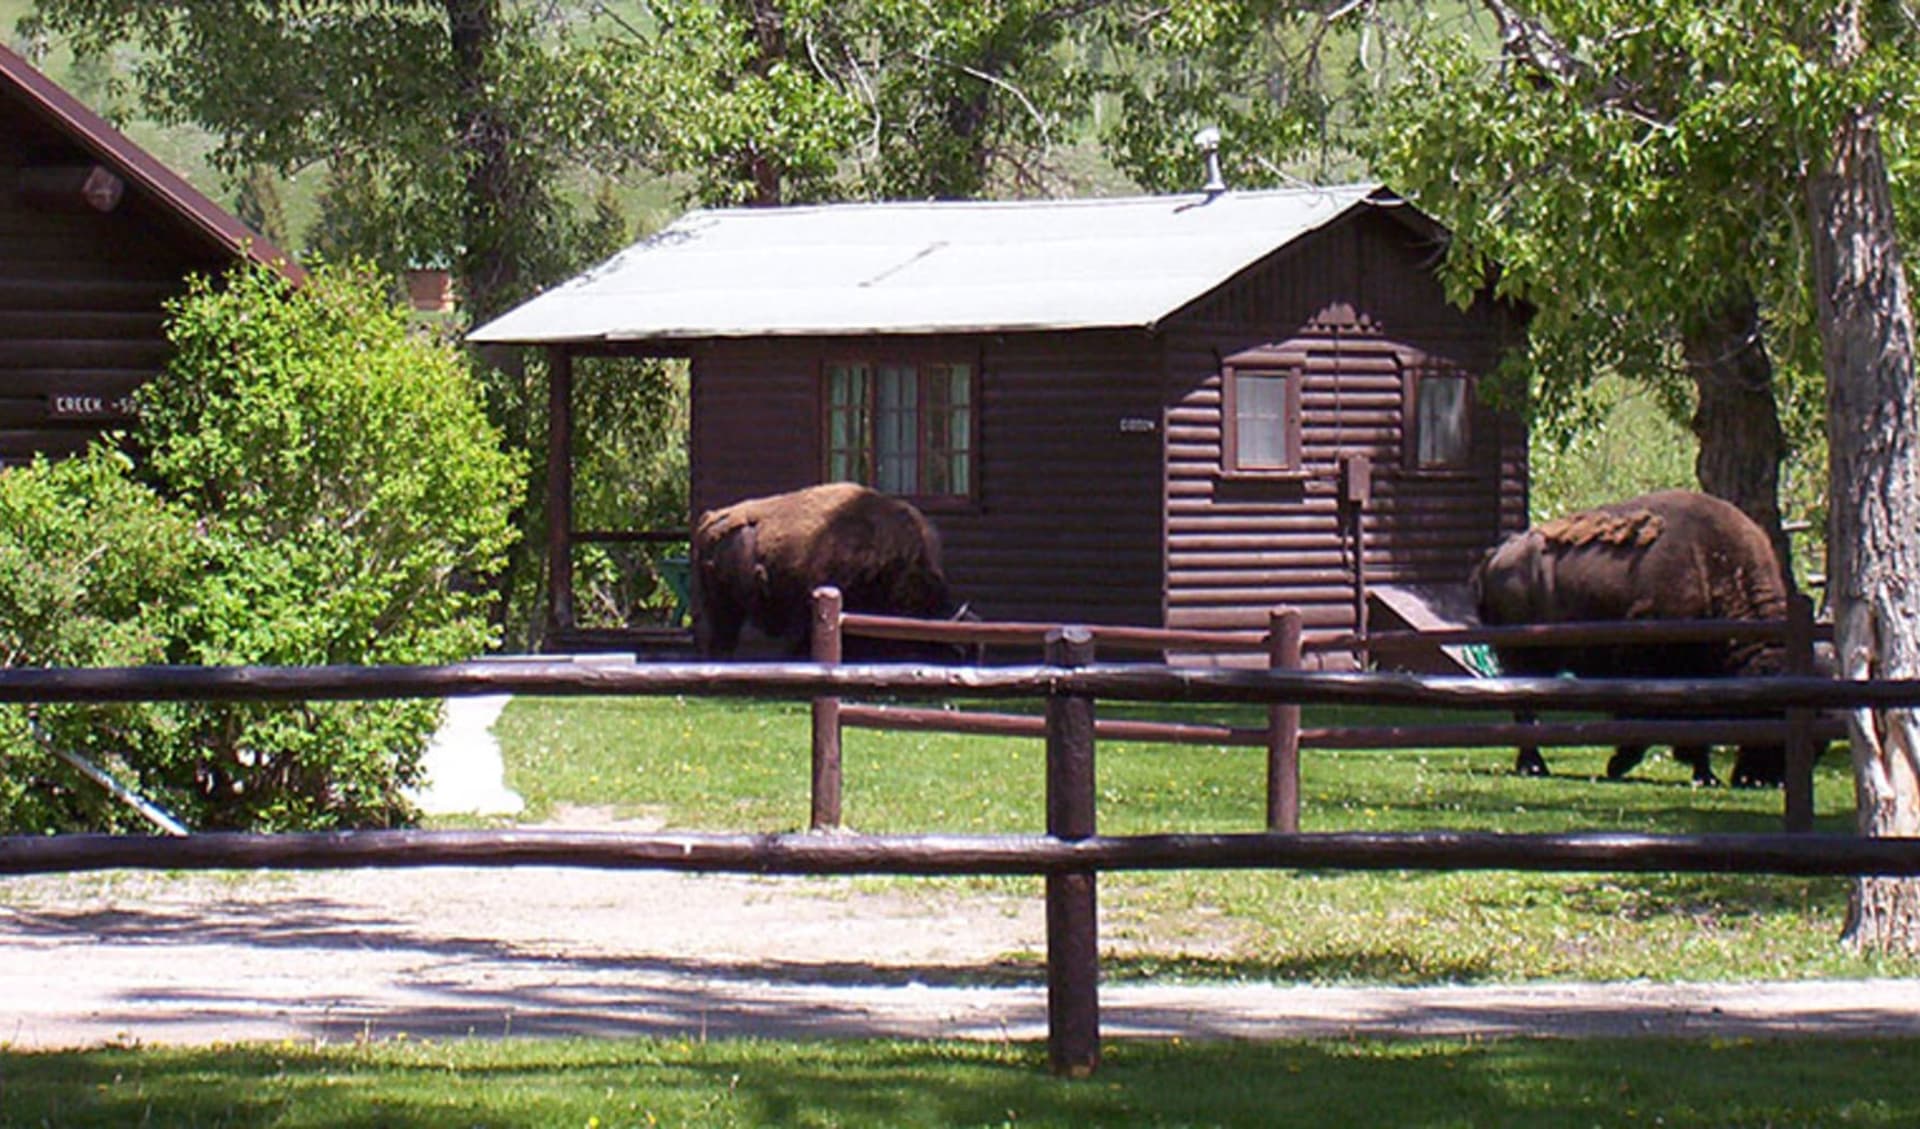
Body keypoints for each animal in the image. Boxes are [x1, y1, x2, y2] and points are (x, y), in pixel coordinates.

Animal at [1466, 489, 1797, 791]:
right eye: (1770, 713)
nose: (1770, 779)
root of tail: (1495, 556)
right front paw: (1623, 764)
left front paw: (1703, 774)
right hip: (1523, 657)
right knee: (1525, 708)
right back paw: (1534, 766)